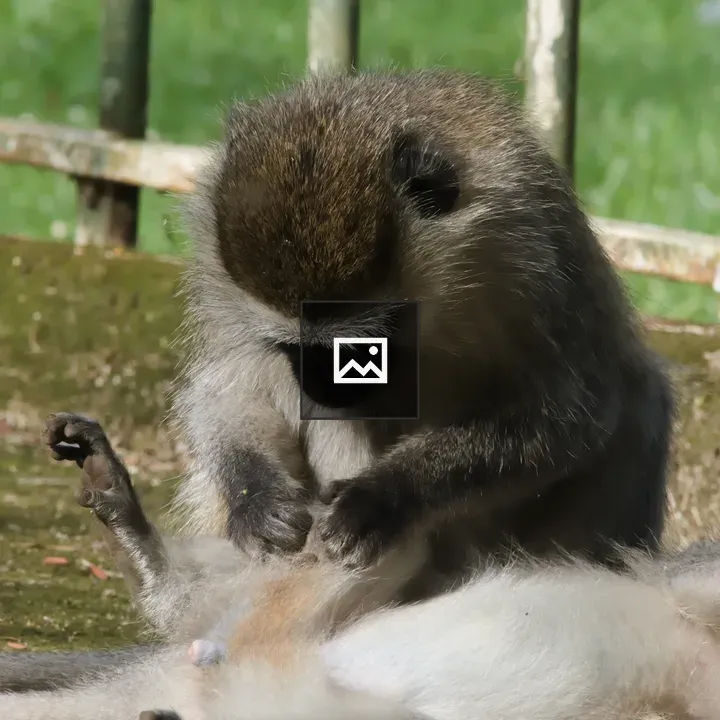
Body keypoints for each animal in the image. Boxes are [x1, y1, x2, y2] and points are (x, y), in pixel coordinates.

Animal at [171, 67, 674, 588]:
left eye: (366, 346)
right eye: (294, 348)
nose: (322, 385)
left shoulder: (533, 260)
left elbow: (568, 416)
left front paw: (383, 497)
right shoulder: (220, 283)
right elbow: (227, 390)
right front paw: (255, 498)